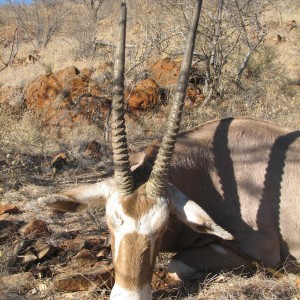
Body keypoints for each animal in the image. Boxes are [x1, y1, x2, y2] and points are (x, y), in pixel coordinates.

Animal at [39, 1, 300, 298]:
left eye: (163, 227)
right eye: (110, 221)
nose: (129, 294)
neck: (207, 173)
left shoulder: (262, 250)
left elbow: (176, 264)